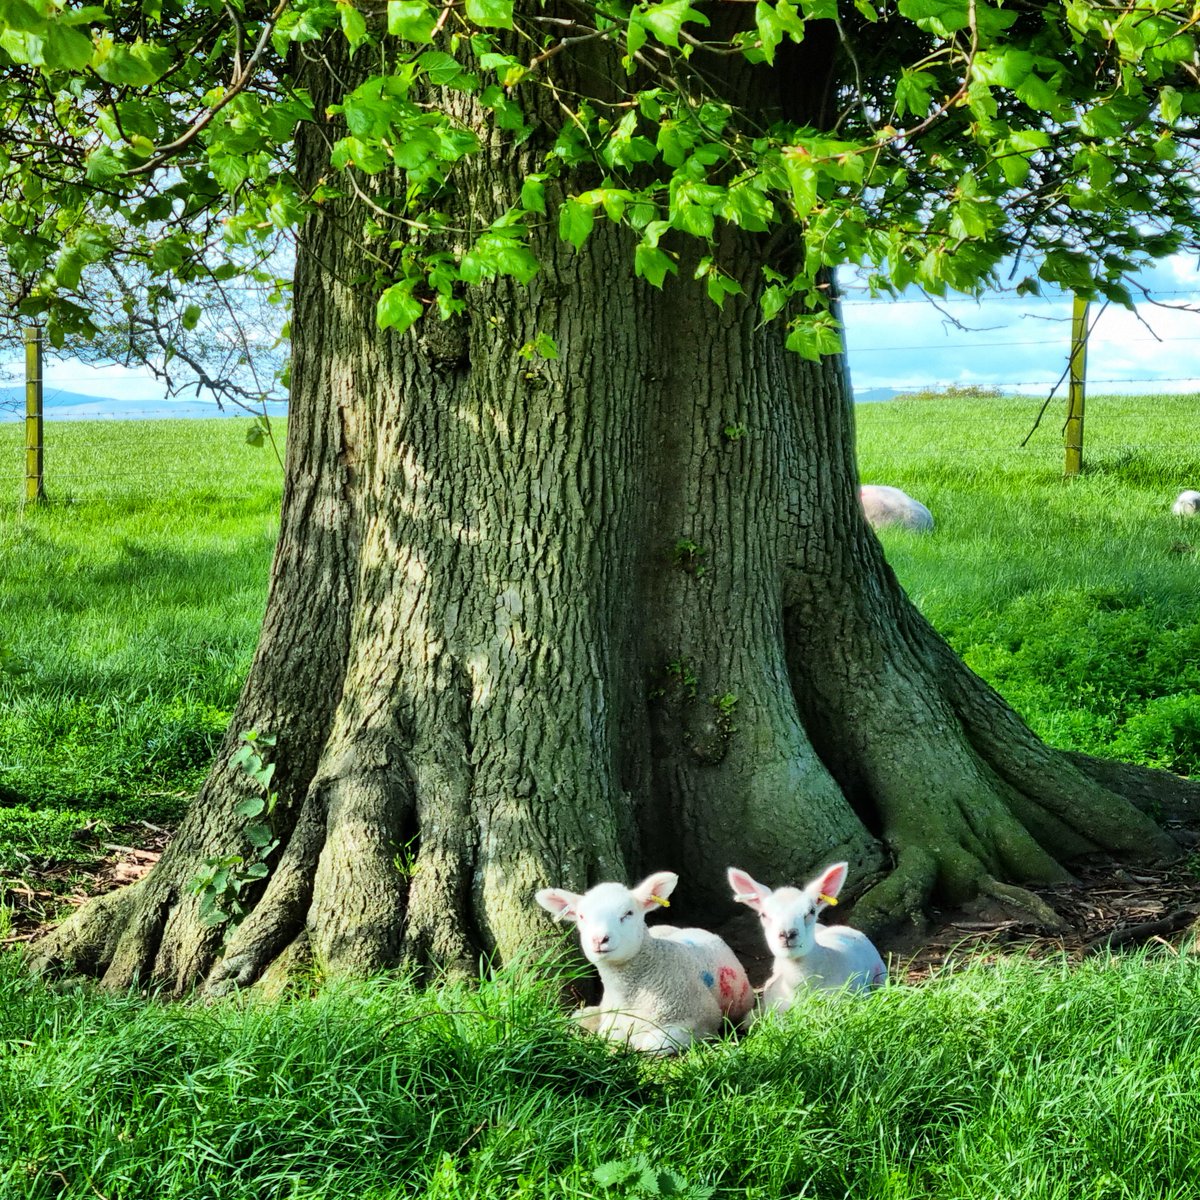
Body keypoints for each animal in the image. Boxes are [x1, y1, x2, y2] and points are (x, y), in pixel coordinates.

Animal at [535, 868, 748, 1056]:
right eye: (581, 916)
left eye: (628, 913)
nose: (599, 939)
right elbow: (608, 1036)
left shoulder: (701, 1020)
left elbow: (651, 1043)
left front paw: (635, 1044)